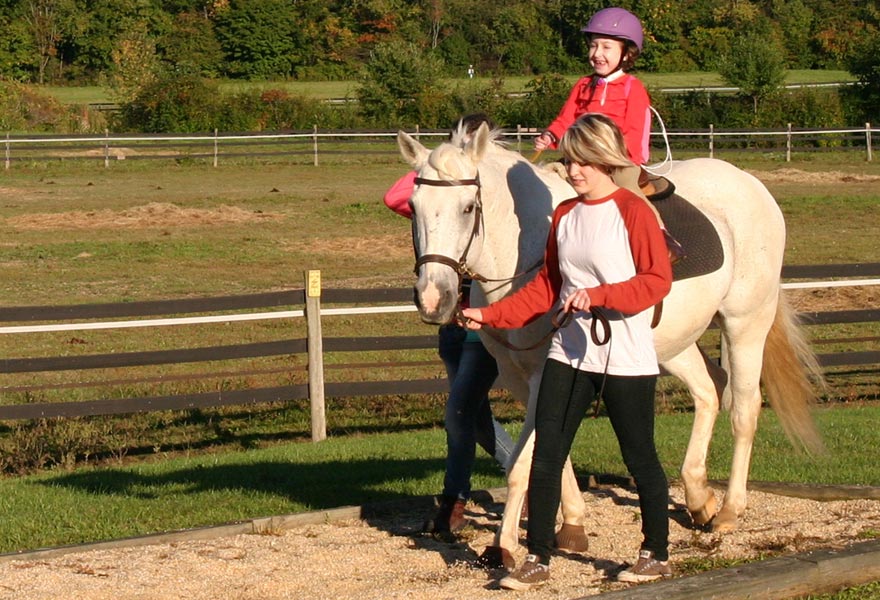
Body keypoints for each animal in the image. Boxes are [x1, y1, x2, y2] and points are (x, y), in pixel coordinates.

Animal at [396, 123, 823, 569]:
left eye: (467, 208)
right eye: (413, 207)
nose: (434, 298)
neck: (524, 250)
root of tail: (749, 183)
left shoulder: (544, 372)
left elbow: (521, 461)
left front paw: (506, 545)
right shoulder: (519, 375)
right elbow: (551, 444)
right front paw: (572, 523)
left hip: (746, 324)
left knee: (744, 408)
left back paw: (728, 509)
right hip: (672, 344)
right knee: (709, 389)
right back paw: (698, 496)